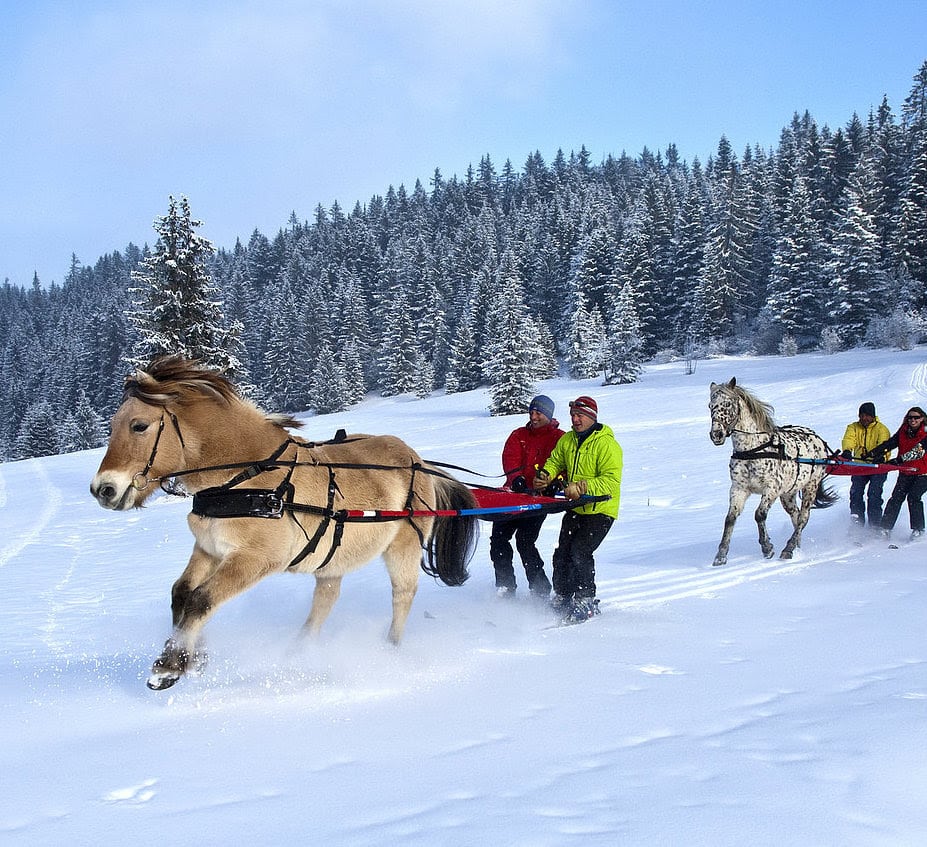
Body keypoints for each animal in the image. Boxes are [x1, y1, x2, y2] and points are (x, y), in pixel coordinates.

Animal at [89, 354, 478, 692]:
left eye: (139, 425)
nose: (102, 489)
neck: (245, 476)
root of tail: (417, 460)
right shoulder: (209, 548)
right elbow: (182, 594)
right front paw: (194, 657)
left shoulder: (255, 559)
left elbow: (202, 599)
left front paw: (169, 666)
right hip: (333, 558)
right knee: (325, 600)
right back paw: (298, 653)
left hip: (403, 547)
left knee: (402, 596)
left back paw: (389, 650)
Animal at [708, 380, 836, 568]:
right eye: (710, 406)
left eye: (728, 404)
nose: (716, 435)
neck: (753, 449)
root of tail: (817, 438)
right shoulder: (739, 489)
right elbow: (730, 518)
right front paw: (720, 556)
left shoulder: (771, 489)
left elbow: (759, 514)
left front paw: (767, 547)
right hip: (788, 494)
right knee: (796, 516)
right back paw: (796, 546)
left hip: (810, 487)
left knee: (803, 518)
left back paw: (788, 549)